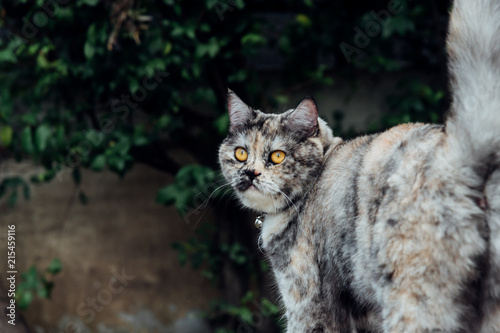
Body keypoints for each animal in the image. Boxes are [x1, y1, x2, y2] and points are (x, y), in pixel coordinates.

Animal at [218, 1, 500, 330]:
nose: (249, 173)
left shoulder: (308, 305)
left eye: (277, 156)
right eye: (240, 153)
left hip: (412, 303)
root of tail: (459, 153)